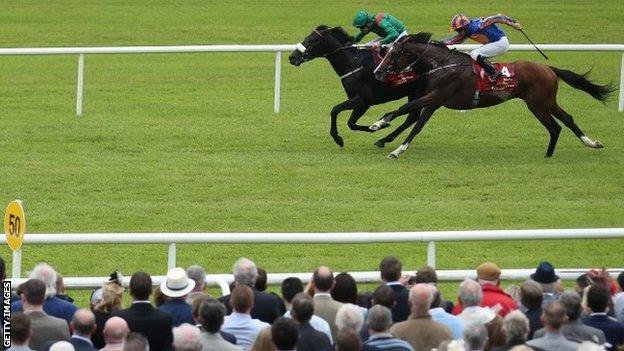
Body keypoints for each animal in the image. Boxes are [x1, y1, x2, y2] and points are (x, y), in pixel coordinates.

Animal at [288, 25, 428, 147]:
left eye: (311, 40)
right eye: (306, 37)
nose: (292, 57)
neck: (354, 63)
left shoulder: (364, 100)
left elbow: (335, 110)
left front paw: (338, 139)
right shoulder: (360, 102)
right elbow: (351, 123)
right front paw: (376, 126)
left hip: (418, 91)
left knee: (412, 115)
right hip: (413, 92)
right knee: (412, 116)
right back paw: (384, 137)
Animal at [372, 33, 612, 160]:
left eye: (394, 53)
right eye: (387, 51)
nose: (377, 73)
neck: (444, 65)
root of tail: (548, 69)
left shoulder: (437, 96)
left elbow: (405, 108)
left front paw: (379, 123)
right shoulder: (434, 101)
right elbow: (417, 125)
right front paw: (398, 148)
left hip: (537, 104)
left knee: (555, 127)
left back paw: (548, 155)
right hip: (548, 101)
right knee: (568, 120)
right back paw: (590, 143)